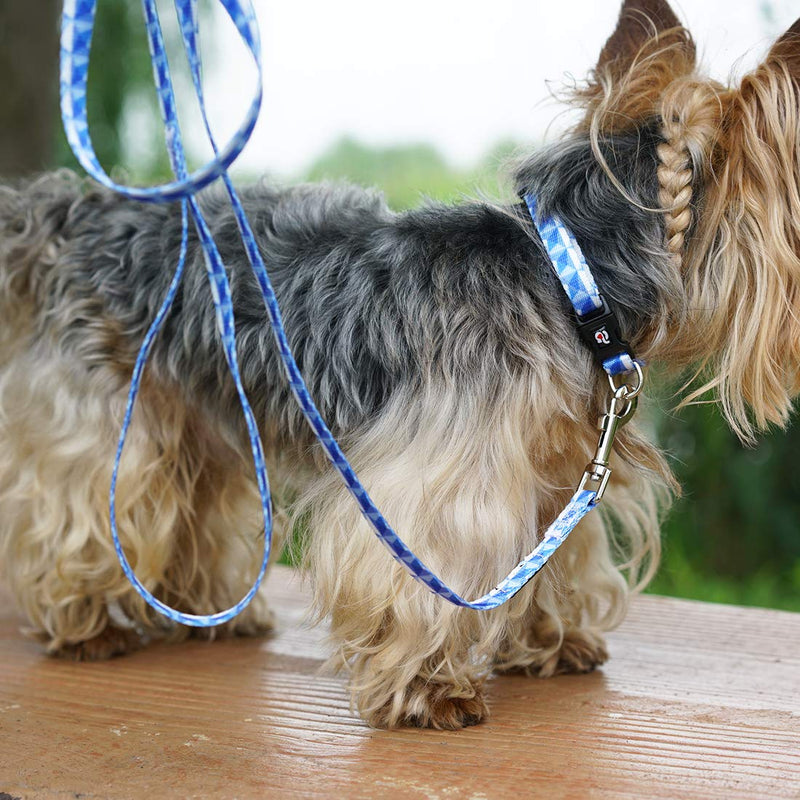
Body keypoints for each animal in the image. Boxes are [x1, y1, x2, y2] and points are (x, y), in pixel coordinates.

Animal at [1, 0, 800, 728]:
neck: (568, 277)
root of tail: (72, 213)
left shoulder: (557, 469)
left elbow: (553, 556)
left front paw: (551, 640)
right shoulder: (442, 480)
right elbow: (425, 571)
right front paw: (431, 688)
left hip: (198, 407)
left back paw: (209, 613)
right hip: (111, 411)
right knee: (84, 502)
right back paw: (87, 621)